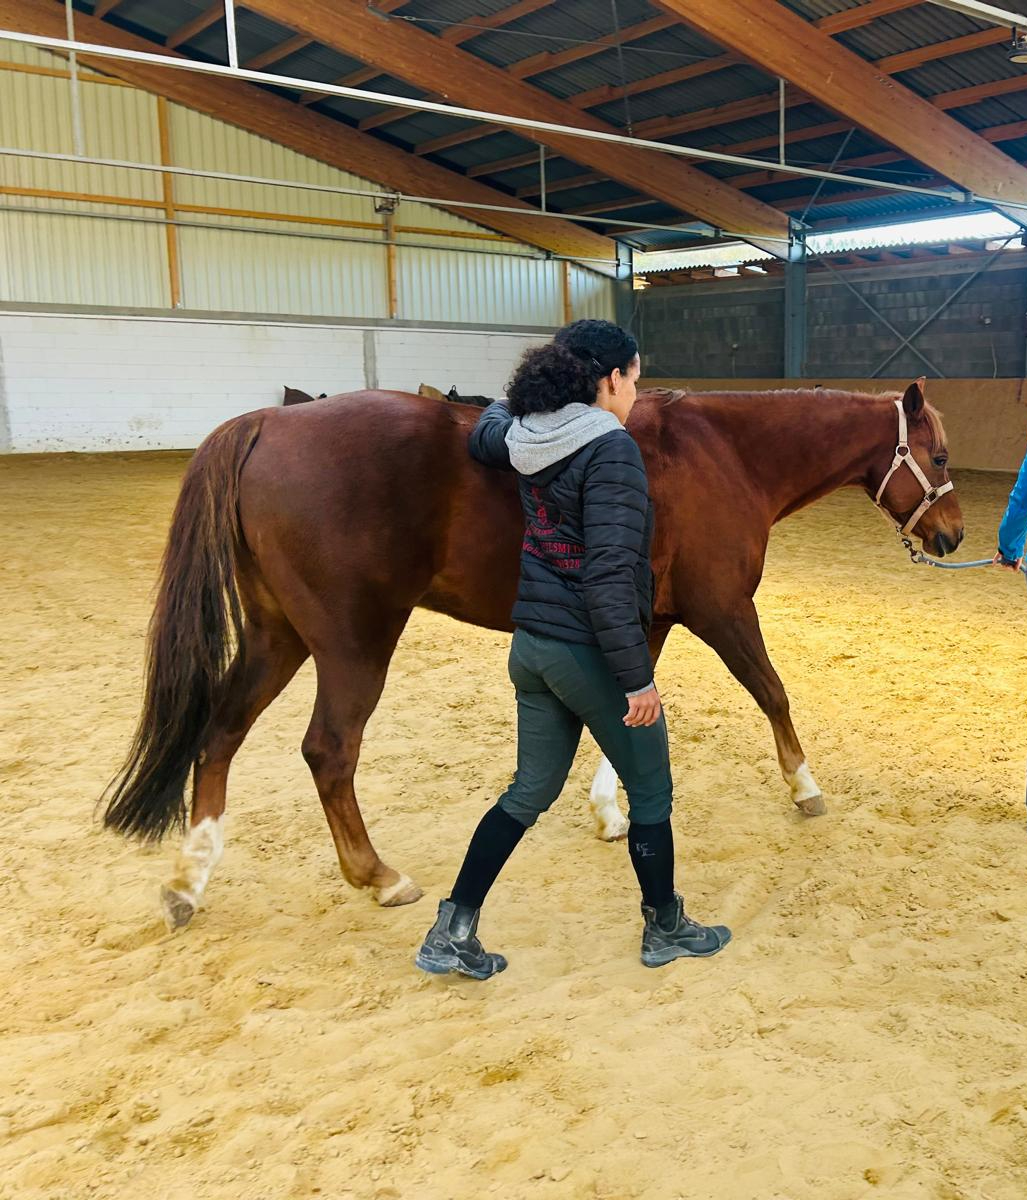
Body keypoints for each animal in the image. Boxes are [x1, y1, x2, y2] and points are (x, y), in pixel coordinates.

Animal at [102, 381, 964, 931]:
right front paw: (803, 786)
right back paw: (377, 876)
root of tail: (265, 425)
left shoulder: (646, 618)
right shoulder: (721, 610)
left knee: (220, 734)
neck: (725, 452)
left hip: (277, 635)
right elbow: (772, 692)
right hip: (353, 642)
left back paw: (189, 879)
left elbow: (628, 711)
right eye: (942, 456)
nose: (952, 535)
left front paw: (611, 810)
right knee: (328, 751)